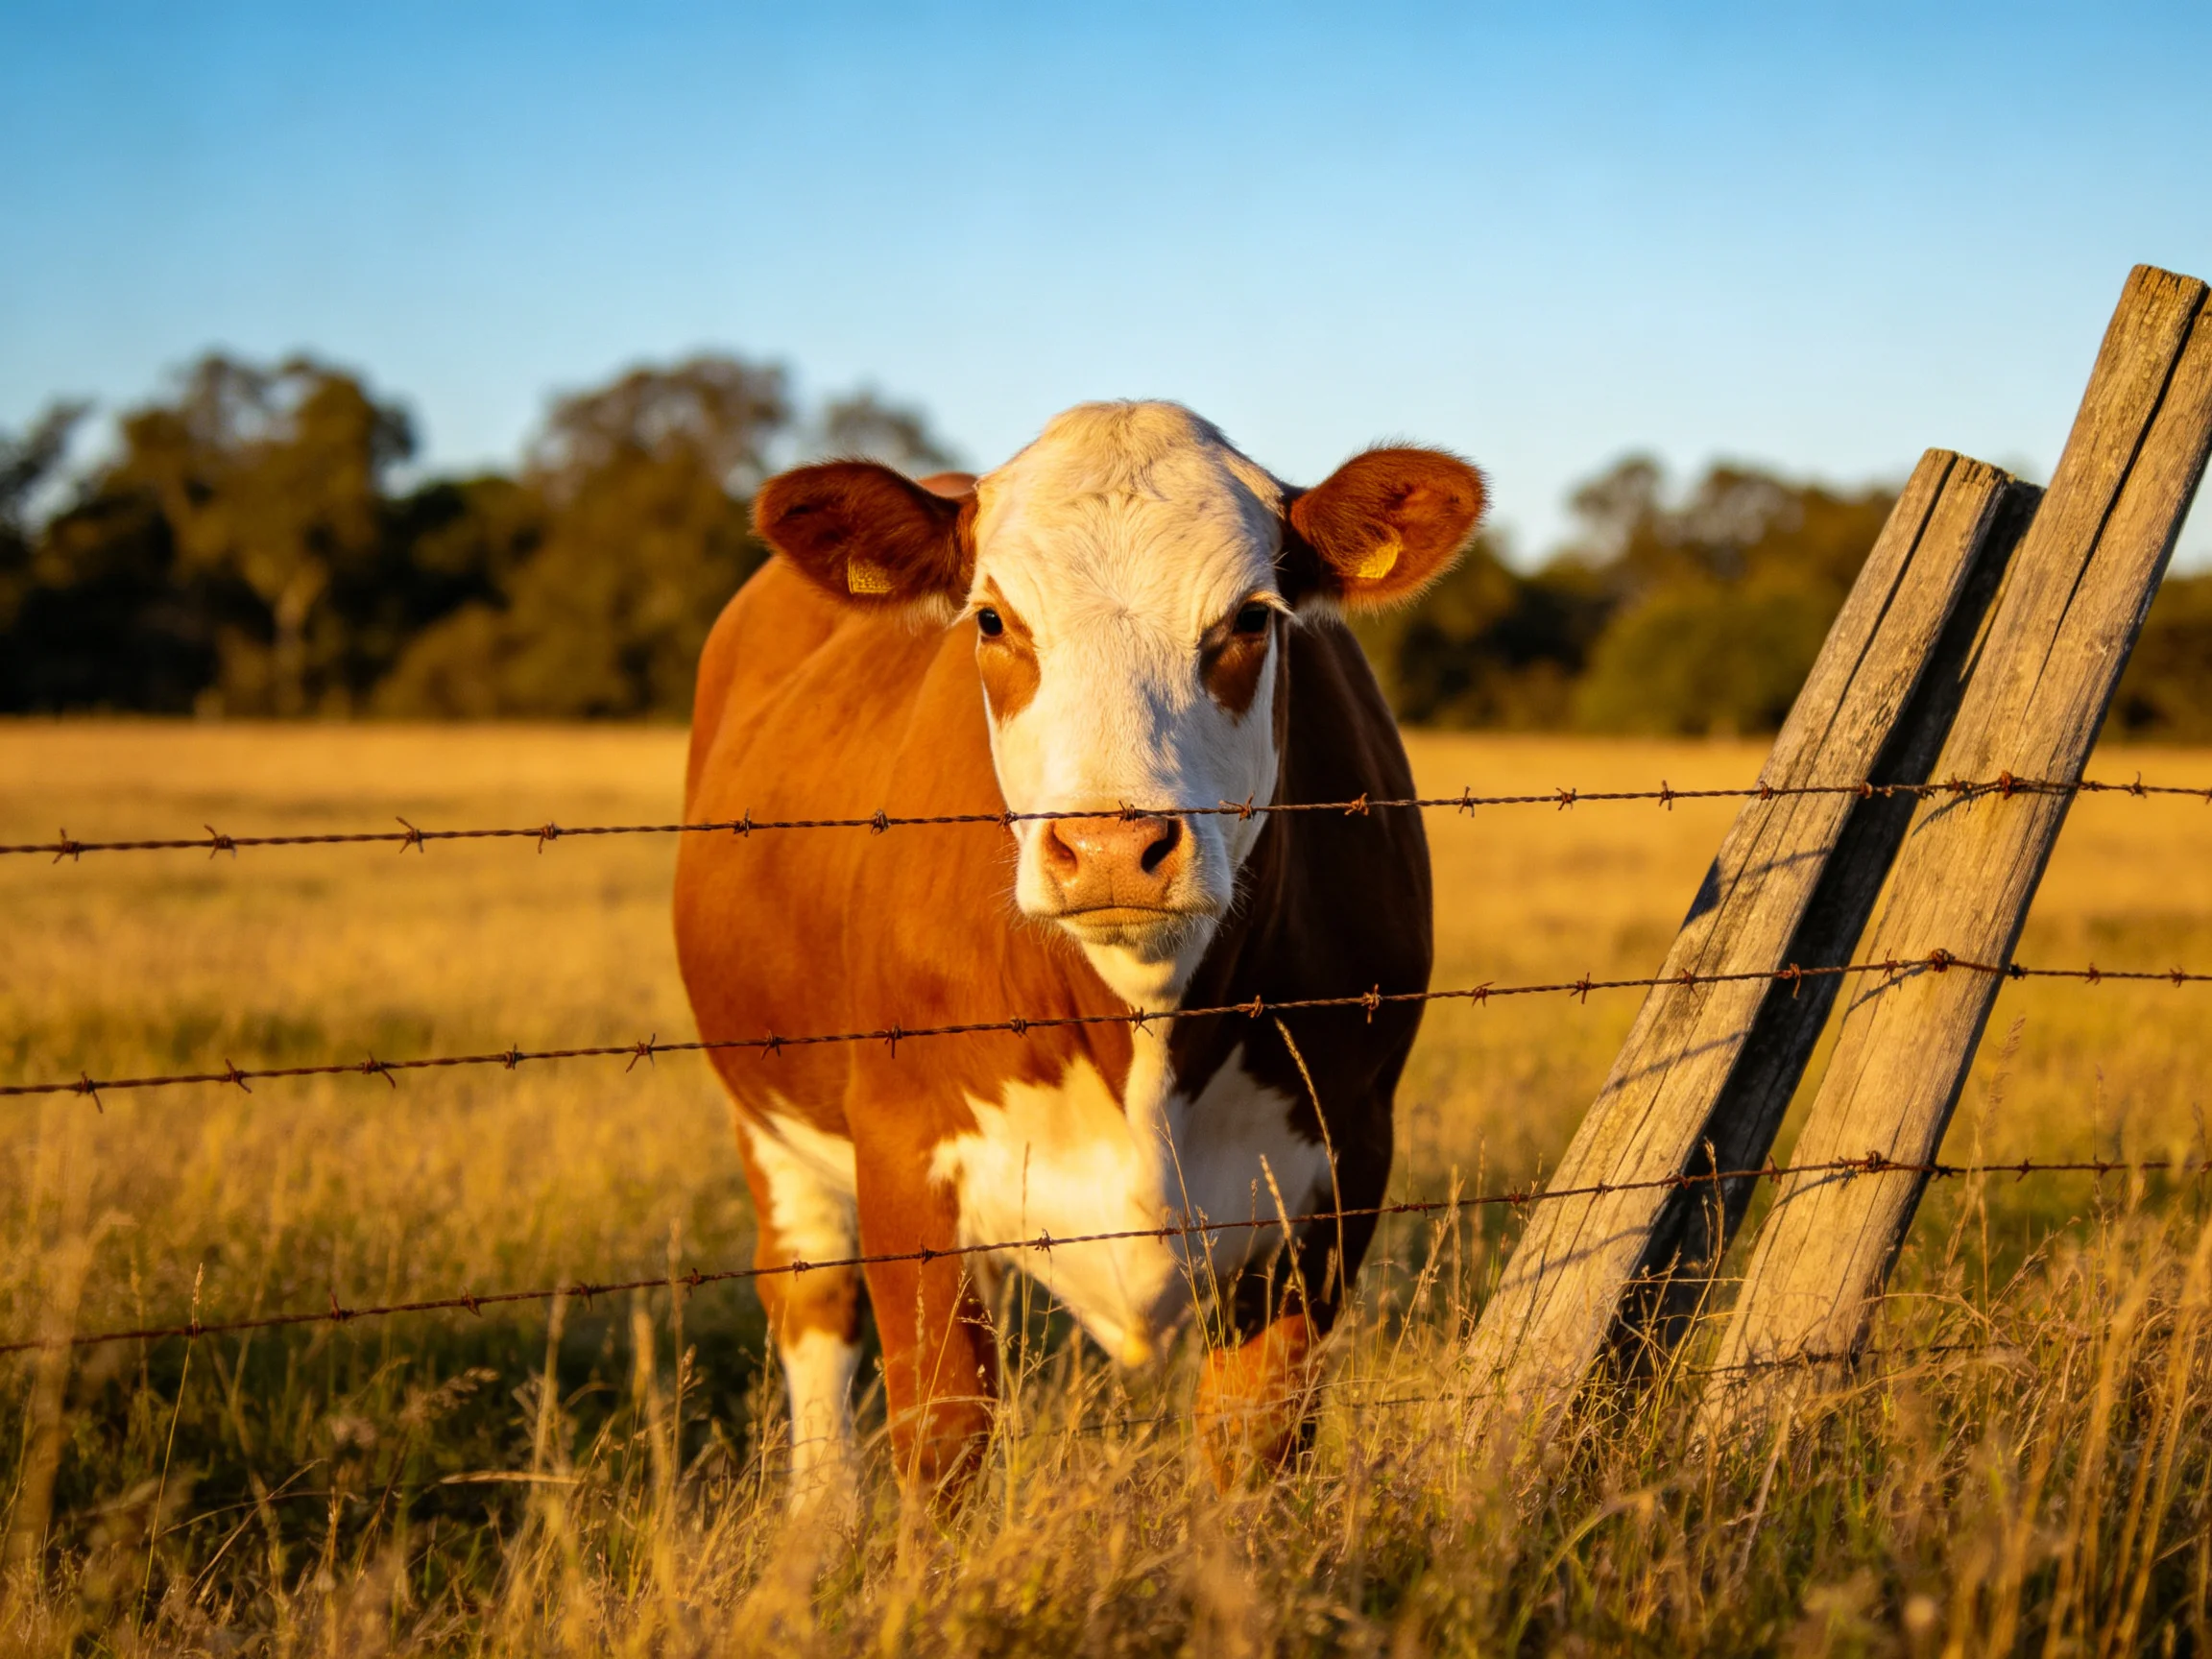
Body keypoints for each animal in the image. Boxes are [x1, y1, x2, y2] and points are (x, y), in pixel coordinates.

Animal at [673, 401, 1483, 1503]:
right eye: (990, 621)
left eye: (1251, 618)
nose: (1109, 849)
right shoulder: (903, 1158)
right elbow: (943, 1432)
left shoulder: (1339, 1162)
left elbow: (1256, 1436)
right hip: (765, 1116)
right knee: (811, 1302)